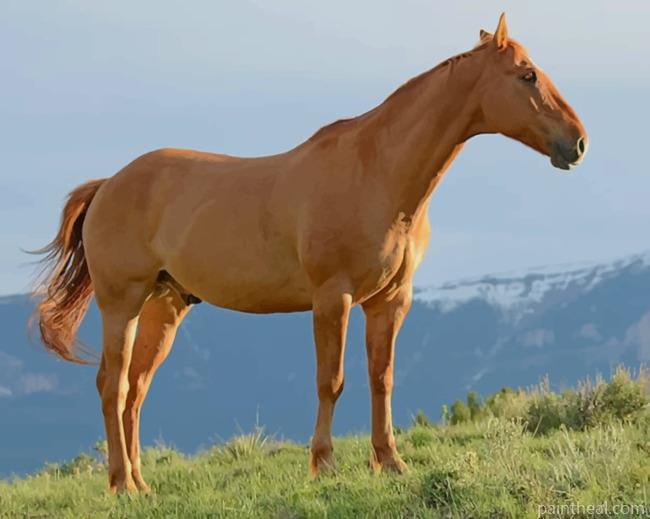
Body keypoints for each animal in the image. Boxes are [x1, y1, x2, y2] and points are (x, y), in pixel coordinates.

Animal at [32, 13, 587, 493]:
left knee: (136, 390)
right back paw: (122, 485)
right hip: (121, 303)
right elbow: (331, 381)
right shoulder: (332, 298)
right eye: (527, 75)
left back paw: (141, 484)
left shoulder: (390, 301)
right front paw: (324, 465)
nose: (578, 143)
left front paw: (390, 462)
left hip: (164, 307)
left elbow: (381, 379)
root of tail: (108, 184)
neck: (377, 174)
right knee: (113, 386)